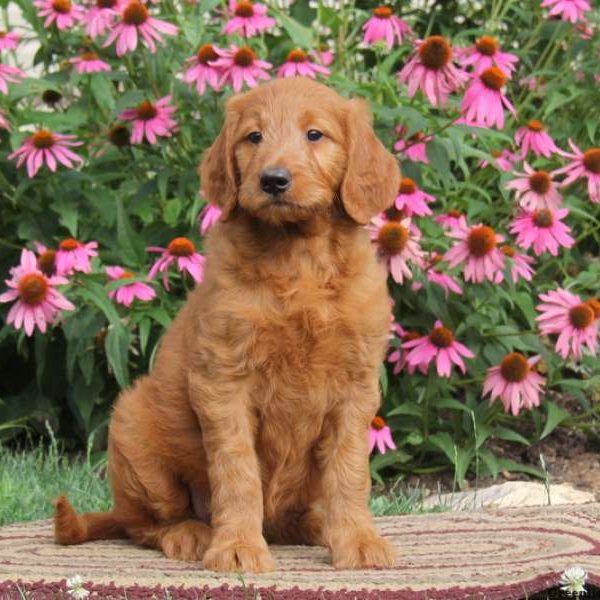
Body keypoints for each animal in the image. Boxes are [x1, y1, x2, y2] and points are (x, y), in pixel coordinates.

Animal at [55, 77, 398, 576]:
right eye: (253, 137)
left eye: (315, 134)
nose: (272, 180)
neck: (297, 256)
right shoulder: (223, 380)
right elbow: (237, 471)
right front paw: (236, 546)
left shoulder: (356, 386)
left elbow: (350, 469)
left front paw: (357, 538)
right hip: (134, 430)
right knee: (144, 525)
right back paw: (190, 533)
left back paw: (316, 526)